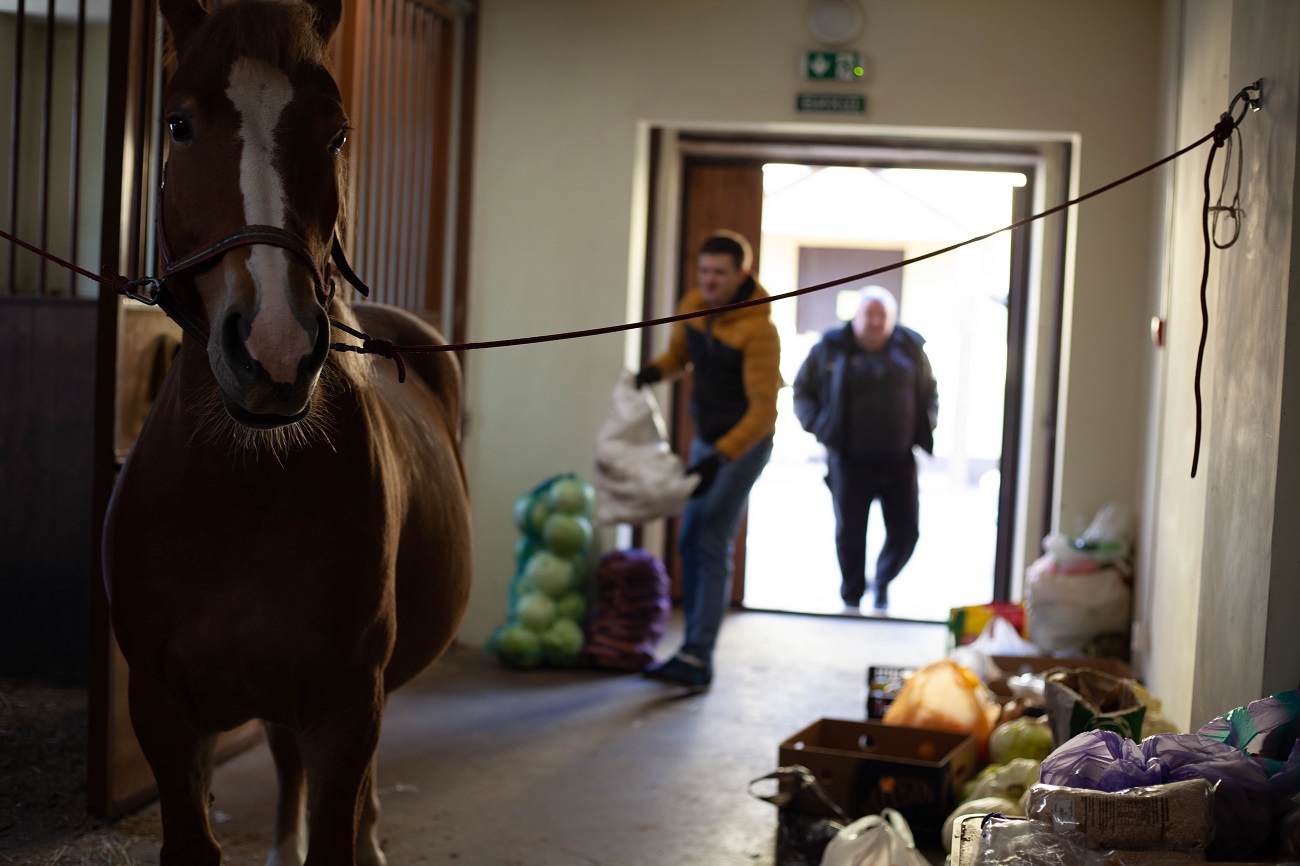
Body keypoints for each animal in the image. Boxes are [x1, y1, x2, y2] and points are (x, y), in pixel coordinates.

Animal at [101, 0, 475, 858]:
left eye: (336, 133)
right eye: (177, 124)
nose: (275, 348)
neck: (242, 492)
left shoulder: (347, 702)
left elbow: (339, 820)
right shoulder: (162, 711)